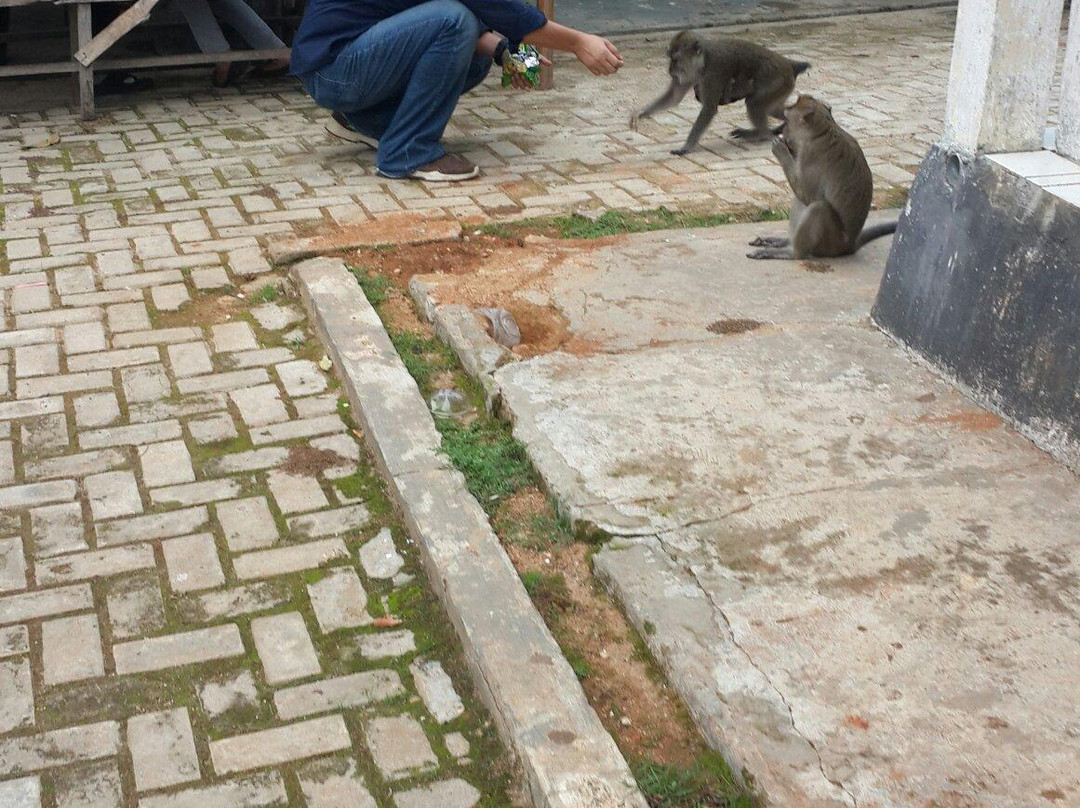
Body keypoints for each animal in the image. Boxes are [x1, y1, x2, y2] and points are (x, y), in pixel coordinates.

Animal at [751, 94, 894, 260]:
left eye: (787, 120)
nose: (782, 131)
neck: (822, 131)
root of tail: (849, 245)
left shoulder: (810, 154)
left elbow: (808, 196)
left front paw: (780, 149)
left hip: (831, 243)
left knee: (818, 207)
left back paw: (792, 252)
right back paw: (785, 242)